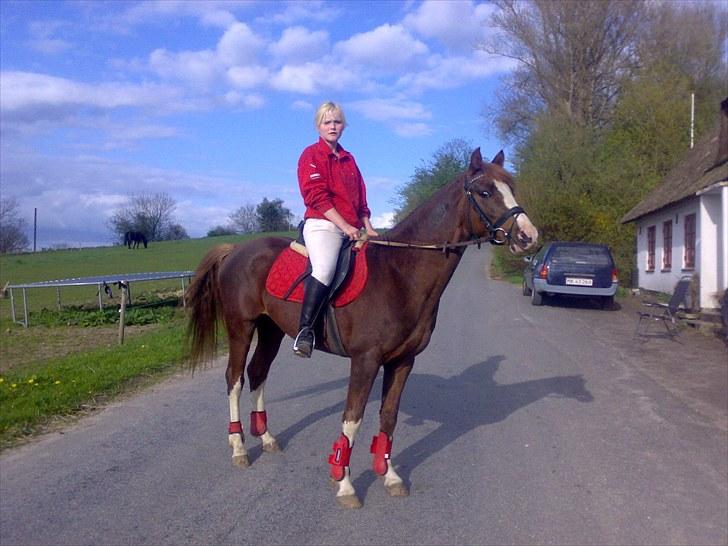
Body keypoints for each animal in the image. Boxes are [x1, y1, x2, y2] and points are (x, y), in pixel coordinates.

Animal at [188, 148, 540, 506]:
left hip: (271, 329)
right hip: (241, 327)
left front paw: (390, 475)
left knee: (258, 373)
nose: (529, 237)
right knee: (235, 380)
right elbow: (353, 418)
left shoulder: (402, 361)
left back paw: (268, 438)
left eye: (511, 188)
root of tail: (236, 250)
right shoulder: (365, 361)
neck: (399, 274)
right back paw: (239, 448)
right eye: (485, 192)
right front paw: (344, 484)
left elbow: (388, 417)